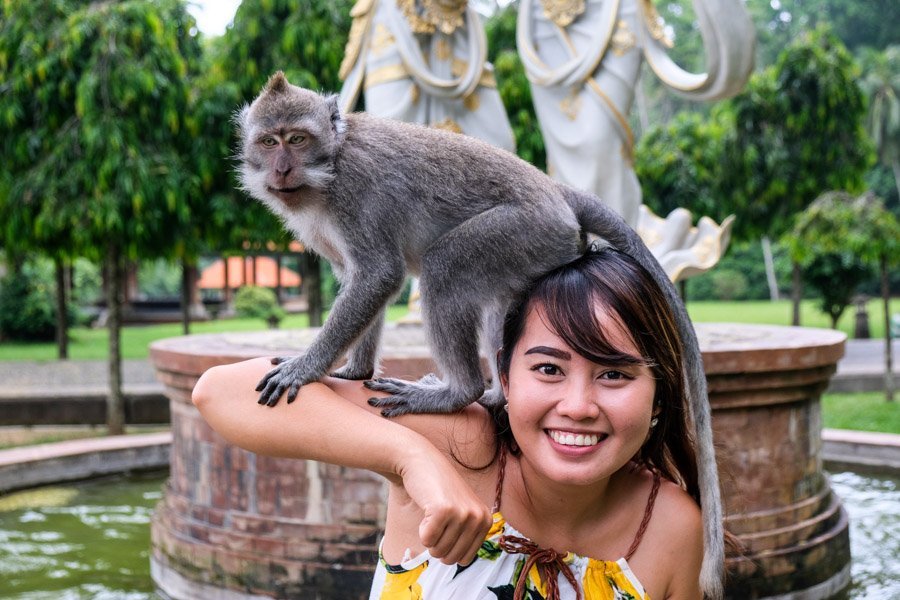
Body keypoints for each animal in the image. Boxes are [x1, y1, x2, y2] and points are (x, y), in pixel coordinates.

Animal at [237, 71, 724, 596]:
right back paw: (493, 395)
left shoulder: (356, 193)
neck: (329, 170)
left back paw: (459, 391)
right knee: (493, 308)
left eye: (298, 139)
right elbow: (358, 280)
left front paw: (306, 368)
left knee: (445, 267)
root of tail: (556, 191)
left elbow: (378, 275)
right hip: (536, 249)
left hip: (522, 231)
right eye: (268, 141)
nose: (282, 169)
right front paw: (353, 369)